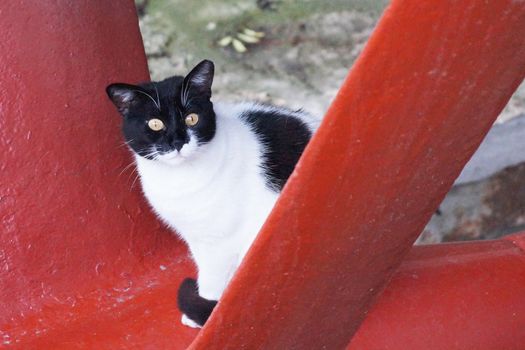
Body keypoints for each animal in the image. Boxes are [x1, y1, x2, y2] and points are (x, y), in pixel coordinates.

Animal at [106, 60, 318, 328]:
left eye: (192, 118)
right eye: (155, 124)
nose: (178, 141)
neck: (179, 180)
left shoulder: (219, 241)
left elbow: (212, 279)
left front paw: (205, 313)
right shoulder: (195, 237)